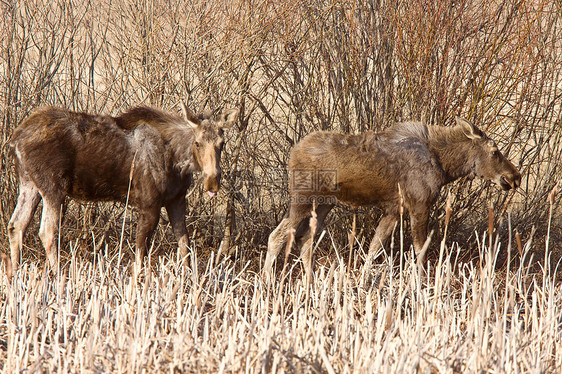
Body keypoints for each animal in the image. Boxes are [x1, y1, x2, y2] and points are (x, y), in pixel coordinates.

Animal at [7, 103, 237, 278]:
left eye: (222, 143)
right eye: (197, 143)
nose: (212, 181)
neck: (178, 161)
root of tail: (15, 138)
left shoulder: (177, 200)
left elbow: (184, 243)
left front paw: (190, 280)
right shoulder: (149, 204)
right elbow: (141, 250)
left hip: (29, 184)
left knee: (16, 225)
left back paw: (15, 275)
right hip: (53, 187)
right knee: (47, 230)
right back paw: (59, 276)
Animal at [264, 118, 520, 280]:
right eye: (495, 152)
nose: (515, 176)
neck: (446, 166)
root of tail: (293, 152)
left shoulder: (394, 209)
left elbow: (373, 247)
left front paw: (363, 280)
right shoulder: (419, 204)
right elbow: (420, 249)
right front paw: (420, 283)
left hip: (324, 204)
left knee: (305, 240)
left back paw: (309, 282)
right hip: (303, 198)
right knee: (276, 235)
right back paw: (267, 283)